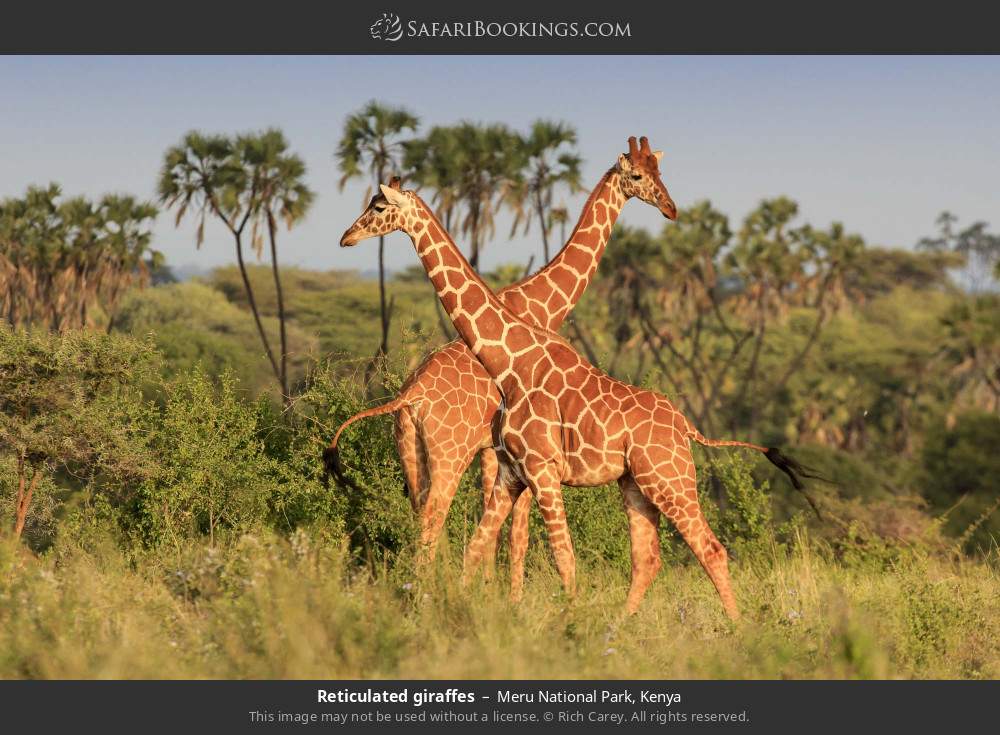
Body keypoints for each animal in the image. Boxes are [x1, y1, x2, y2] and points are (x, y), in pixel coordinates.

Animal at [328, 135, 680, 592]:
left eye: (658, 172)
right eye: (637, 176)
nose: (670, 208)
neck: (538, 306)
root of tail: (409, 397)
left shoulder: (491, 452)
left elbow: (492, 526)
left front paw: (490, 590)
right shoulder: (512, 453)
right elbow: (518, 533)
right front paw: (509, 596)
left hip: (409, 450)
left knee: (420, 517)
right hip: (448, 453)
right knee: (432, 520)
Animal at [340, 170, 816, 620]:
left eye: (378, 205)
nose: (347, 237)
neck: (510, 360)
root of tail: (687, 427)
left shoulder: (540, 469)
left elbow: (558, 555)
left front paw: (564, 623)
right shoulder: (513, 471)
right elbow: (480, 546)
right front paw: (465, 608)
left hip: (667, 479)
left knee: (710, 549)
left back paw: (735, 630)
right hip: (634, 484)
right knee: (648, 558)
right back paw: (618, 626)